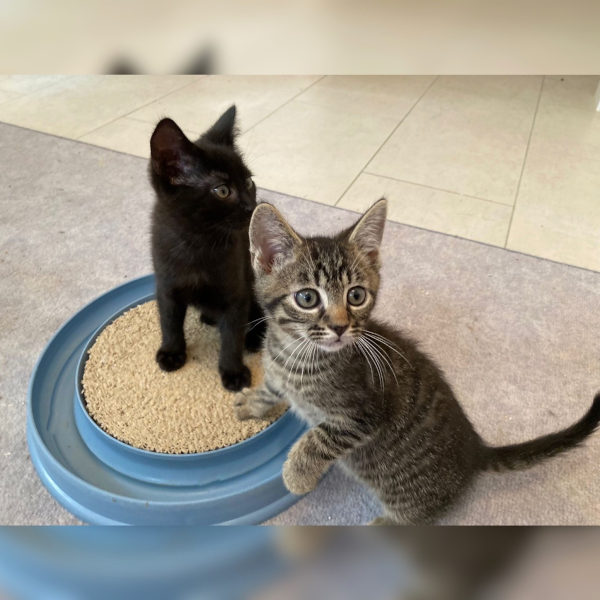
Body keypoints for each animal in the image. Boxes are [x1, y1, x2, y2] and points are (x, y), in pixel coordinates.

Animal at [149, 105, 265, 391]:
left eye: (248, 182)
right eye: (222, 190)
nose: (252, 207)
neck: (198, 241)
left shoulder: (236, 292)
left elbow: (232, 335)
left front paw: (233, 372)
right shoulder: (167, 285)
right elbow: (169, 320)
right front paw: (171, 352)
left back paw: (253, 337)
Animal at [234, 198, 600, 524]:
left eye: (356, 295)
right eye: (307, 297)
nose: (339, 327)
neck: (295, 354)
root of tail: (475, 449)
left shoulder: (361, 416)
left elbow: (317, 441)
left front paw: (296, 475)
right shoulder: (278, 372)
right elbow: (270, 388)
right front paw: (250, 403)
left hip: (406, 491)